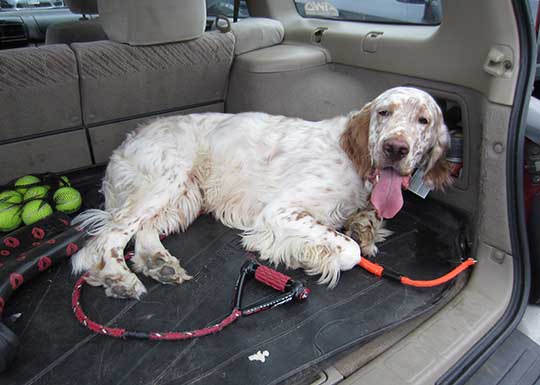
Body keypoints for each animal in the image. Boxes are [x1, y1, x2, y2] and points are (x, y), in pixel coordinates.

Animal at [71, 86, 452, 296]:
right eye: (384, 113)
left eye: (424, 120)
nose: (395, 148)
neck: (355, 161)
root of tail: (129, 138)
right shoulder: (280, 211)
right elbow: (348, 250)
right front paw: (305, 254)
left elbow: (366, 223)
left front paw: (363, 227)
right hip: (166, 180)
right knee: (102, 242)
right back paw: (118, 278)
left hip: (185, 197)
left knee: (143, 232)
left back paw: (158, 263)